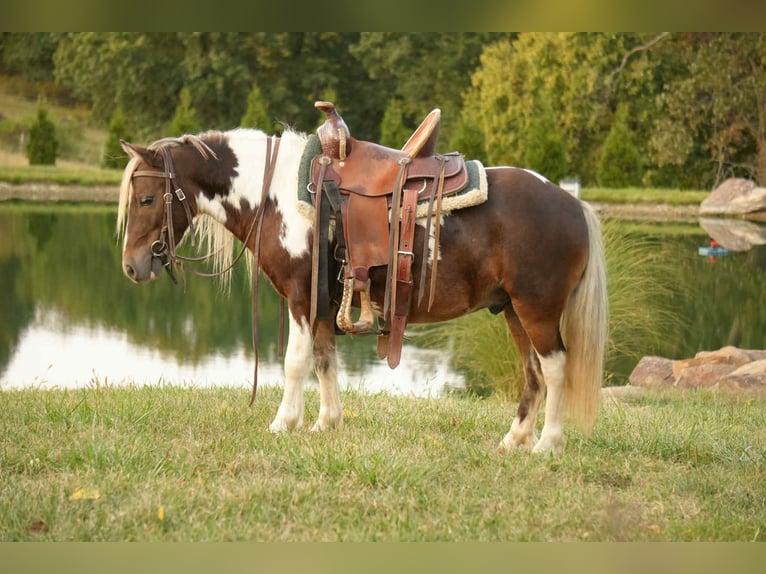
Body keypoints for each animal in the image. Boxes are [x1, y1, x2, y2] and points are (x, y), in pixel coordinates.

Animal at [116, 124, 608, 455]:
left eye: (146, 198)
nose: (132, 267)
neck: (277, 195)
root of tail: (573, 203)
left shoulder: (301, 296)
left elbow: (296, 363)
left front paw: (283, 423)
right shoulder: (322, 302)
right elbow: (324, 361)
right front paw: (326, 422)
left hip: (537, 309)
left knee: (556, 368)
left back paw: (547, 444)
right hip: (512, 310)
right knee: (533, 372)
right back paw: (514, 439)